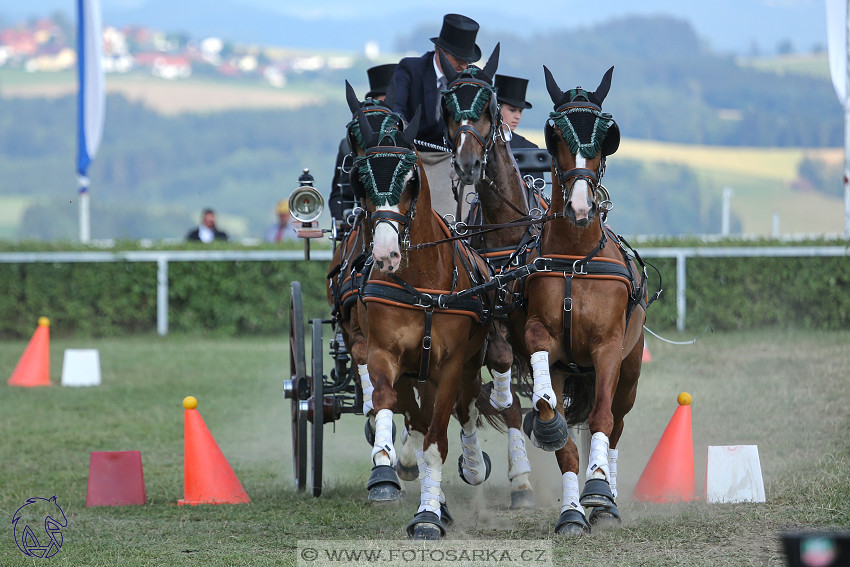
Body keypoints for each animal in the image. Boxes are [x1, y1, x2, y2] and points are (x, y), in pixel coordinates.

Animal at [348, 104, 494, 540]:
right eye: (362, 178)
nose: (384, 254)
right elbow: (390, 409)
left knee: (466, 410)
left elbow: (436, 442)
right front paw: (388, 472)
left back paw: (473, 466)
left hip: (466, 366)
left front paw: (428, 515)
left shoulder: (449, 367)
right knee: (418, 417)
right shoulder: (385, 355)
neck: (424, 282)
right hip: (417, 372)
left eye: (410, 179)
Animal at [516, 64, 648, 536]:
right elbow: (554, 425)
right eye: (554, 133)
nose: (578, 206)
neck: (576, 258)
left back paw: (607, 495)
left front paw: (597, 490)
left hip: (629, 370)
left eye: (607, 134)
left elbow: (603, 421)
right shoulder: (547, 347)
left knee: (616, 423)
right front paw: (572, 511)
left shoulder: (607, 348)